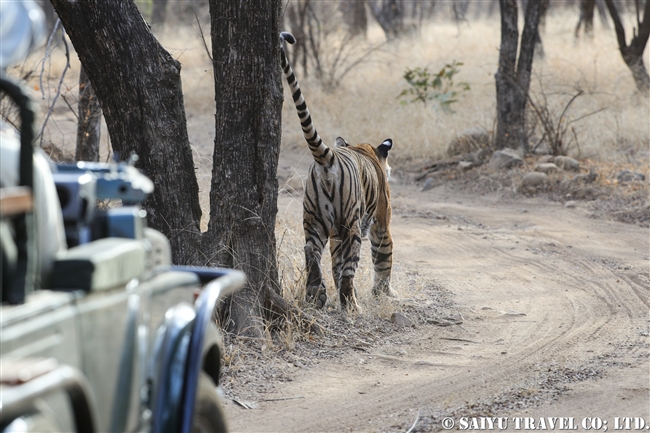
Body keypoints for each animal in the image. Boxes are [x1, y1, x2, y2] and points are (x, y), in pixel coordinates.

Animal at [278, 33, 392, 310]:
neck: (363, 147)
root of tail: (327, 157)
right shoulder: (380, 220)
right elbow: (384, 257)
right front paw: (384, 292)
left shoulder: (333, 233)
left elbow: (335, 263)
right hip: (351, 226)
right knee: (351, 266)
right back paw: (351, 305)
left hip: (313, 218)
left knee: (310, 250)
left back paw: (315, 293)